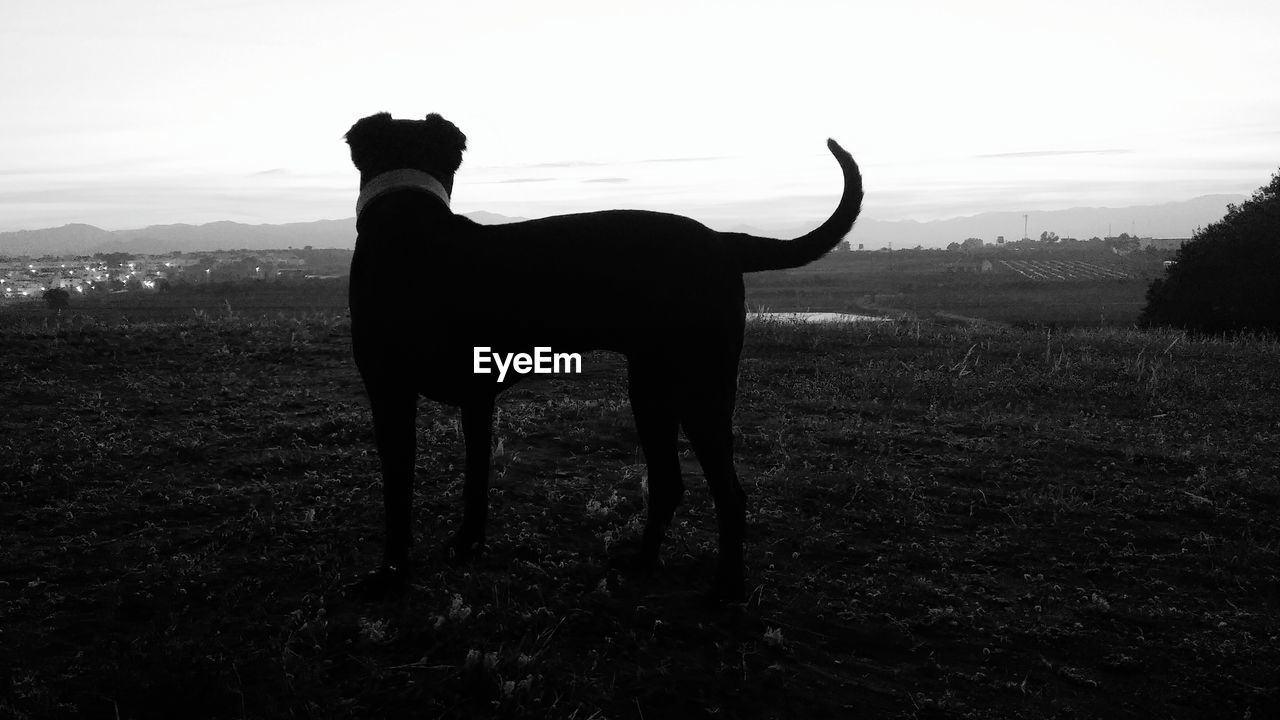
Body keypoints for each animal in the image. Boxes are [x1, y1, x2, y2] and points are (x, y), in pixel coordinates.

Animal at [343, 110, 860, 599]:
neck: (412, 228)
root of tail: (721, 239)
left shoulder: (391, 395)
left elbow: (398, 495)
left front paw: (389, 576)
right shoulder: (473, 397)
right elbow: (474, 481)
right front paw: (466, 543)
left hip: (700, 389)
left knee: (729, 494)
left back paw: (726, 589)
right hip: (652, 388)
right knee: (669, 481)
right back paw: (642, 561)